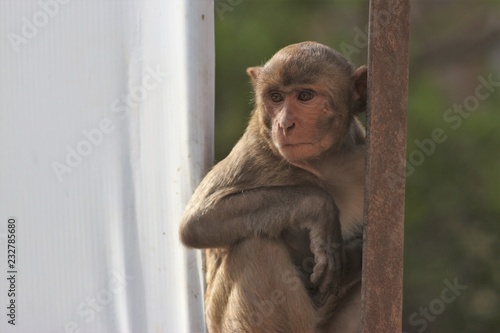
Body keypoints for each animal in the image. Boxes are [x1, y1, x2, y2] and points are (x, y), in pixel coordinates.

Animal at [180, 41, 368, 332]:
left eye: (305, 96)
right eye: (276, 97)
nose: (284, 124)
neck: (322, 164)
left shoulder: (361, 161)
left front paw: (349, 258)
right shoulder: (255, 150)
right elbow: (198, 223)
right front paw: (320, 209)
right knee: (255, 246)